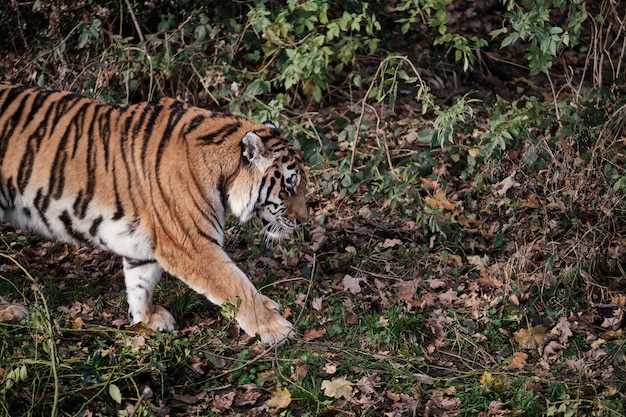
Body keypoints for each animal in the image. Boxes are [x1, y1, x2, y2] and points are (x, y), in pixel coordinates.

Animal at [0, 83, 308, 342]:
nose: (303, 220)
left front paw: (146, 319)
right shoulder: (191, 243)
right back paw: (11, 311)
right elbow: (237, 285)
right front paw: (274, 328)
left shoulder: (143, 240)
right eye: (289, 186)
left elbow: (141, 282)